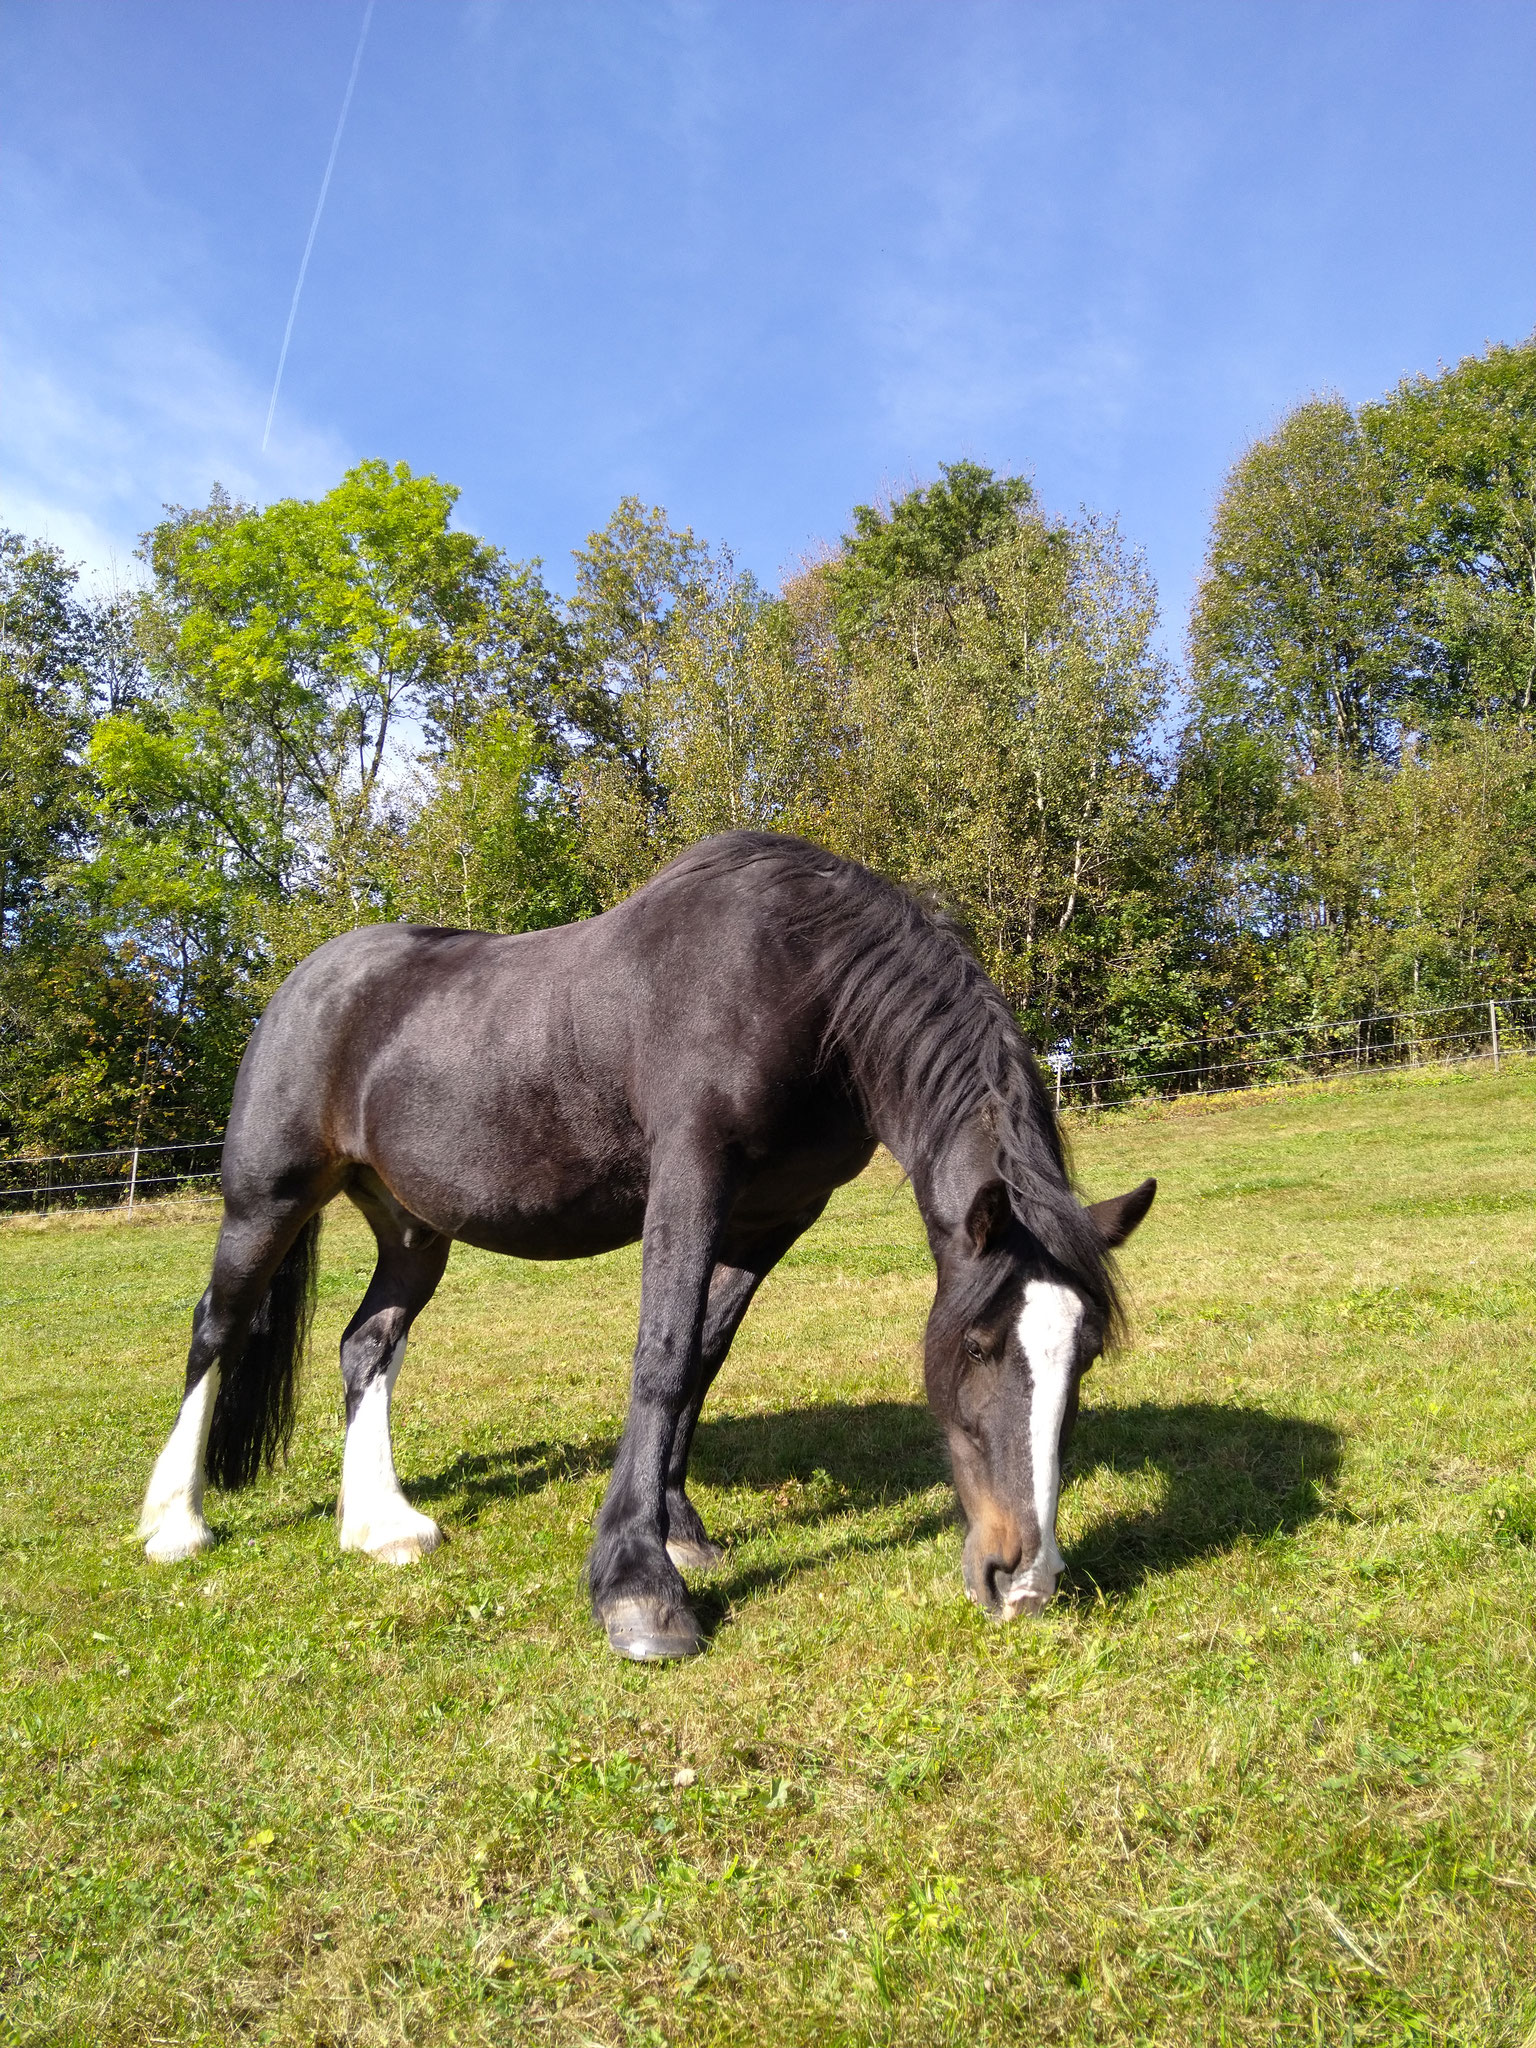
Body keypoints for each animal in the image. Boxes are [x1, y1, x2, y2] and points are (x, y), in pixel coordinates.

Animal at [141, 823, 1155, 1654]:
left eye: (1086, 1354)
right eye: (978, 1346)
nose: (1023, 1579)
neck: (804, 982)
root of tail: (304, 983)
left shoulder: (772, 1218)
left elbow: (702, 1356)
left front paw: (678, 1530)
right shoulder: (691, 1177)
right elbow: (662, 1356)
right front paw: (639, 1587)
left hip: (413, 1231)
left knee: (367, 1345)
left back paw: (383, 1525)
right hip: (265, 1202)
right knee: (214, 1329)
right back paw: (175, 1523)